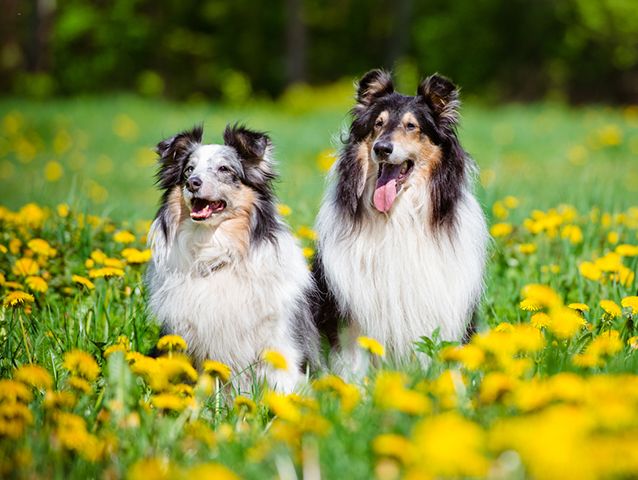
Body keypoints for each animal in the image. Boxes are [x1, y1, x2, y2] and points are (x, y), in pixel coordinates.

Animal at [316, 69, 490, 372]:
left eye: (411, 126)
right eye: (378, 123)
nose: (382, 149)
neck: (397, 216)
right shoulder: (352, 315)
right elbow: (354, 364)